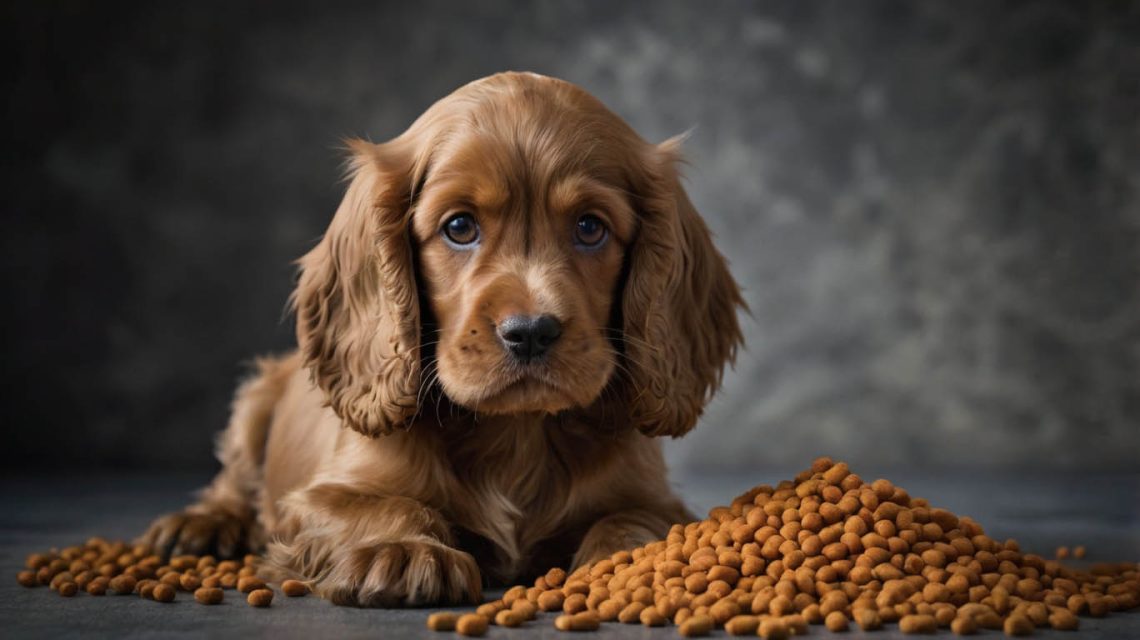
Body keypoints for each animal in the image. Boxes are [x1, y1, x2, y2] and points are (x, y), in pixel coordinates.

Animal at [140, 72, 747, 606]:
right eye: (459, 227)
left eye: (590, 228)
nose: (530, 333)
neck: (516, 435)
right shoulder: (314, 498)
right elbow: (382, 505)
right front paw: (402, 549)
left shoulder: (657, 498)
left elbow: (635, 517)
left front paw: (627, 561)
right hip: (258, 396)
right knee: (233, 477)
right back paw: (200, 524)